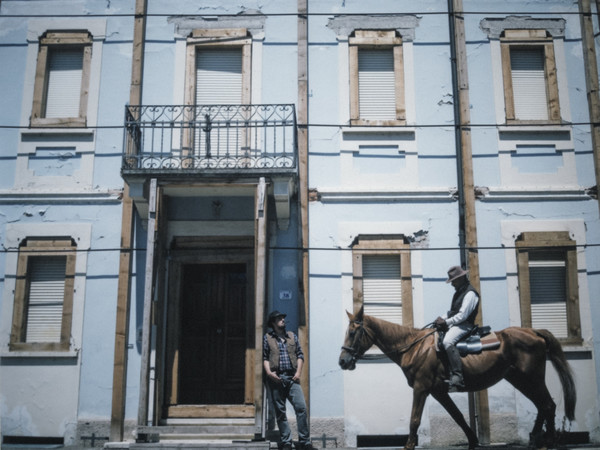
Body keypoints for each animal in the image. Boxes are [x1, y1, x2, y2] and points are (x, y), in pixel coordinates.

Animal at [338, 308, 576, 450]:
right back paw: (536, 439)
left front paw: (408, 445)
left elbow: (414, 420)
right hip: (520, 380)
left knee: (547, 405)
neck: (415, 348)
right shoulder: (439, 391)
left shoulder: (421, 388)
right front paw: (472, 441)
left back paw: (547, 443)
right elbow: (458, 417)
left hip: (531, 379)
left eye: (353, 332)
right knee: (542, 406)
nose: (343, 361)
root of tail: (534, 333)